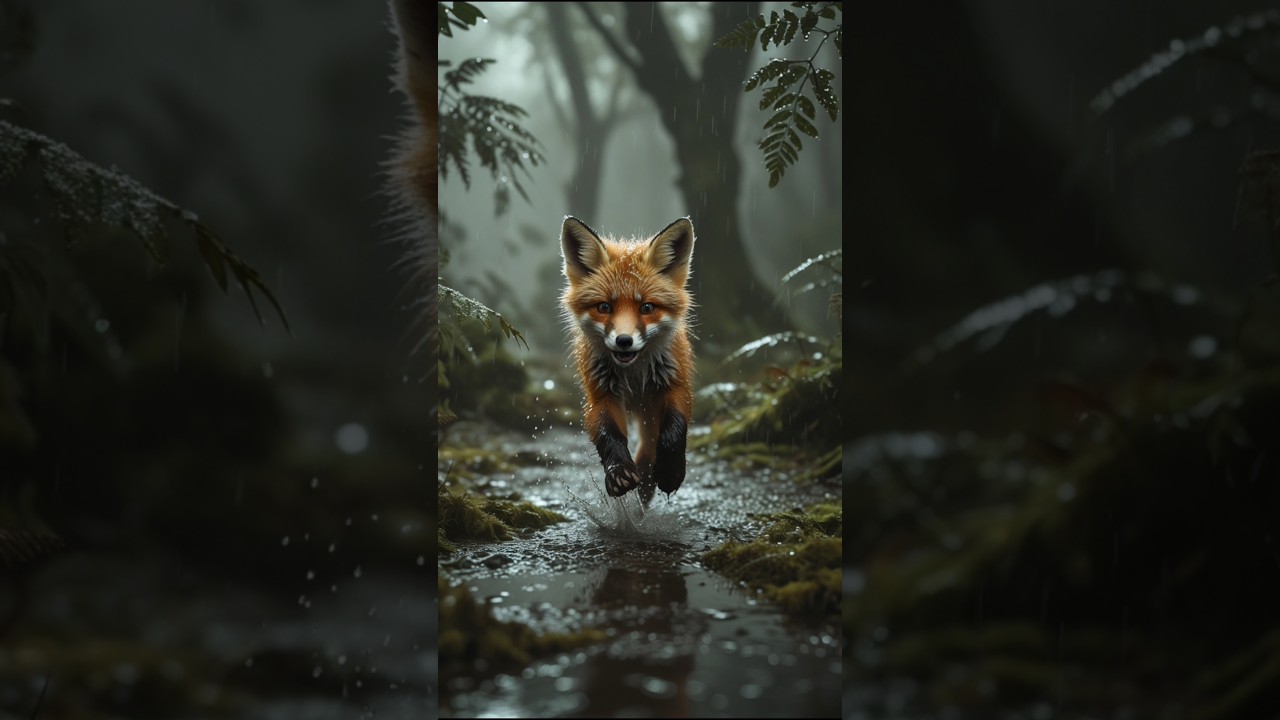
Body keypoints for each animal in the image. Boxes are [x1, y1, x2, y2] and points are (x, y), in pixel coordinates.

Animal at [560, 216, 697, 505]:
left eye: (647, 307)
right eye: (604, 307)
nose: (624, 340)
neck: (633, 373)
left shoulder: (675, 385)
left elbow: (674, 431)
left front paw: (670, 472)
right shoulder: (600, 395)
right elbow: (608, 435)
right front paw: (619, 472)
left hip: (650, 408)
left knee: (649, 445)